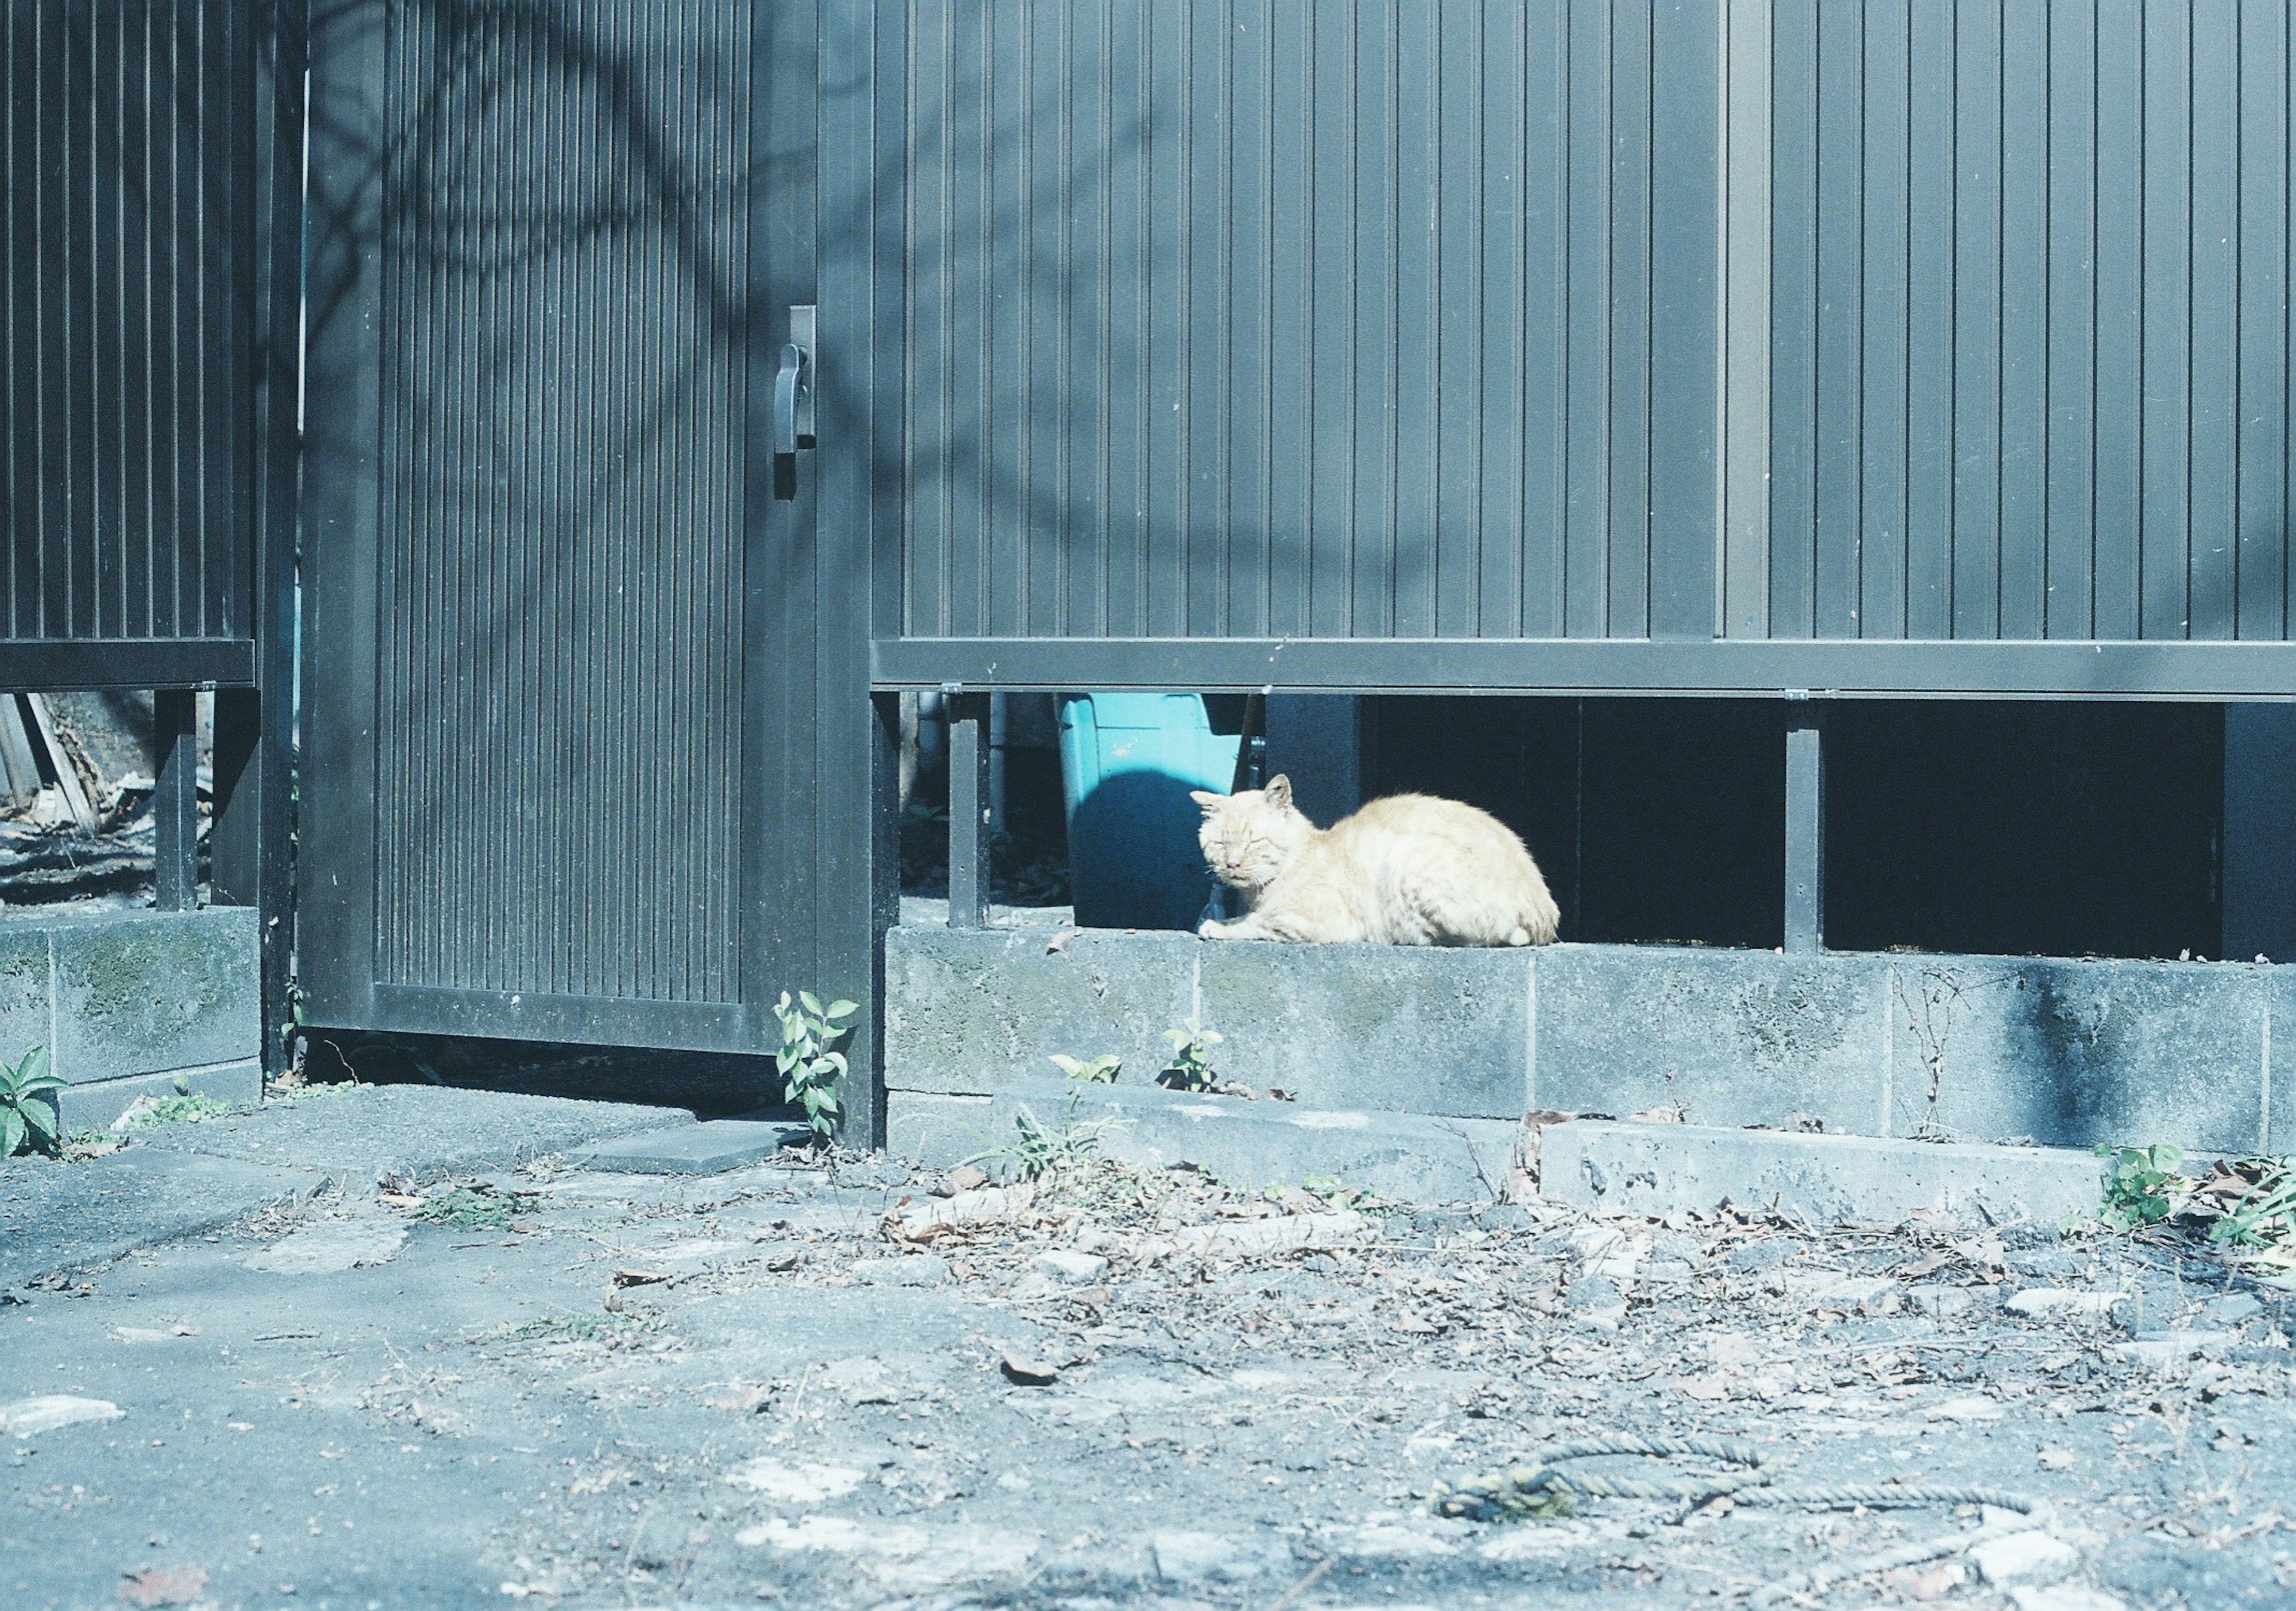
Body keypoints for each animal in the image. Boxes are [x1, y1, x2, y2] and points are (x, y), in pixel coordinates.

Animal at [1193, 780, 1552, 955]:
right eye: (1221, 844)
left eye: (1254, 841)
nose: (1233, 864)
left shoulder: (1319, 922)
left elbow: (1258, 923)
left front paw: (1218, 926)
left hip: (1409, 858)